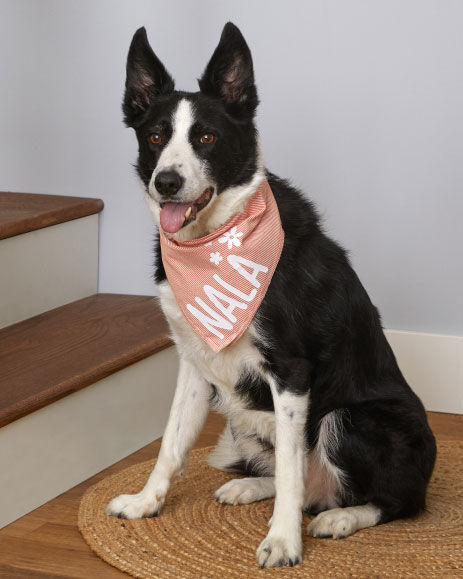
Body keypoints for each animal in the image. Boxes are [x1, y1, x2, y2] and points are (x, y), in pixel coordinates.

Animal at [107, 23, 436, 572]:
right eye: (155, 137)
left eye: (206, 138)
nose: (166, 182)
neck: (214, 250)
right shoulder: (194, 363)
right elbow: (171, 445)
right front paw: (145, 502)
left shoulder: (290, 371)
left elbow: (289, 470)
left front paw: (283, 542)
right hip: (244, 419)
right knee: (300, 483)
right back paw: (248, 487)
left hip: (352, 419)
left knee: (392, 501)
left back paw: (342, 517)